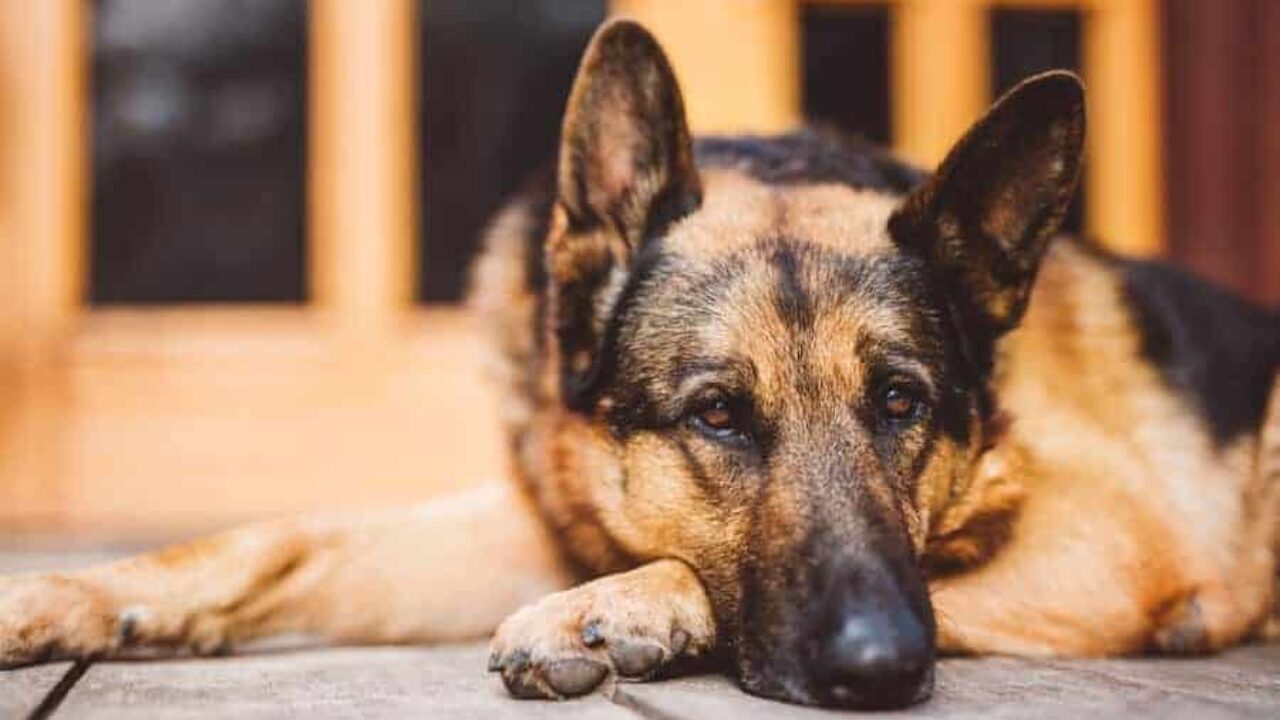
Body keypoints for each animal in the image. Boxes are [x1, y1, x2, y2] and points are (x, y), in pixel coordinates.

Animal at [2, 19, 1280, 707]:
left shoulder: (1109, 538)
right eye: (716, 416)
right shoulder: (534, 520)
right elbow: (284, 536)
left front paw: (616, 608)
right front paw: (81, 594)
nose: (878, 668)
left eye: (899, 402)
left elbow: (901, 562)